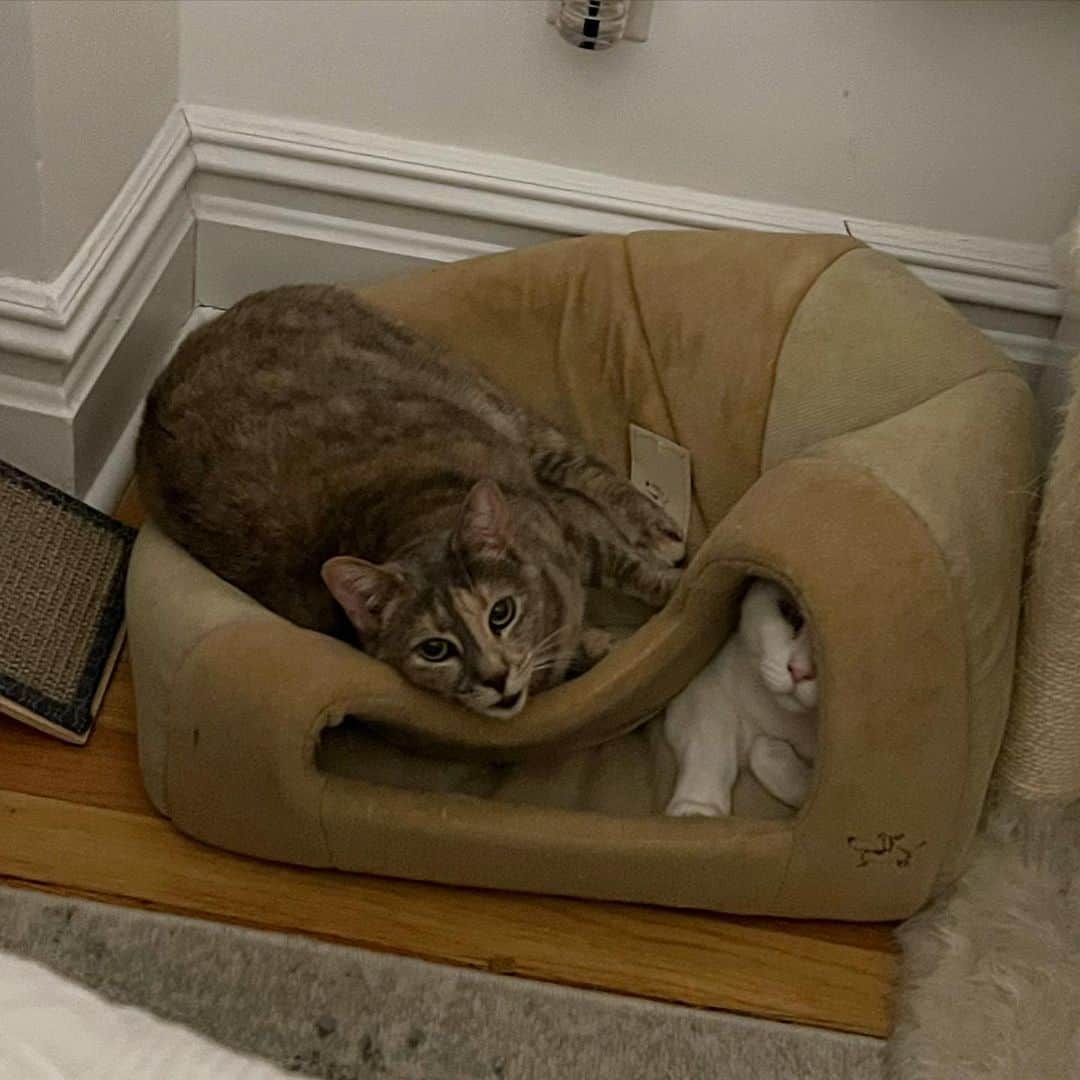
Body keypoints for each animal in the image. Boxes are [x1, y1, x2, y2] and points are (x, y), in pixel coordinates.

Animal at [137, 285, 682, 717]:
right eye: (435, 650)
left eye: (500, 614)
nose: (495, 677)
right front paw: (595, 644)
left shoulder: (570, 537)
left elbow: (626, 567)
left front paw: (672, 592)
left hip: (492, 406)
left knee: (582, 466)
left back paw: (659, 530)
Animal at [656, 583, 816, 816]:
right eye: (789, 611)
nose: (800, 672)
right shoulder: (704, 686)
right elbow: (709, 743)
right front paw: (697, 808)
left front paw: (776, 754)